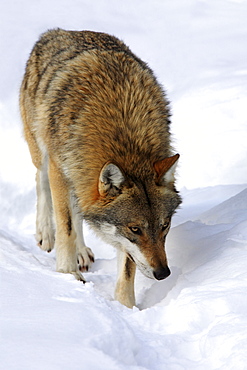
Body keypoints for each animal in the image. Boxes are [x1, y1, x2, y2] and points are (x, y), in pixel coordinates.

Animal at [19, 28, 181, 306]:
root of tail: (60, 31)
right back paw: (46, 234)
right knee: (42, 183)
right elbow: (66, 226)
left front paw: (126, 307)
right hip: (42, 151)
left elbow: (127, 268)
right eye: (135, 229)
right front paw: (67, 275)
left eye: (164, 226)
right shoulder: (60, 169)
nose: (163, 273)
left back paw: (82, 253)